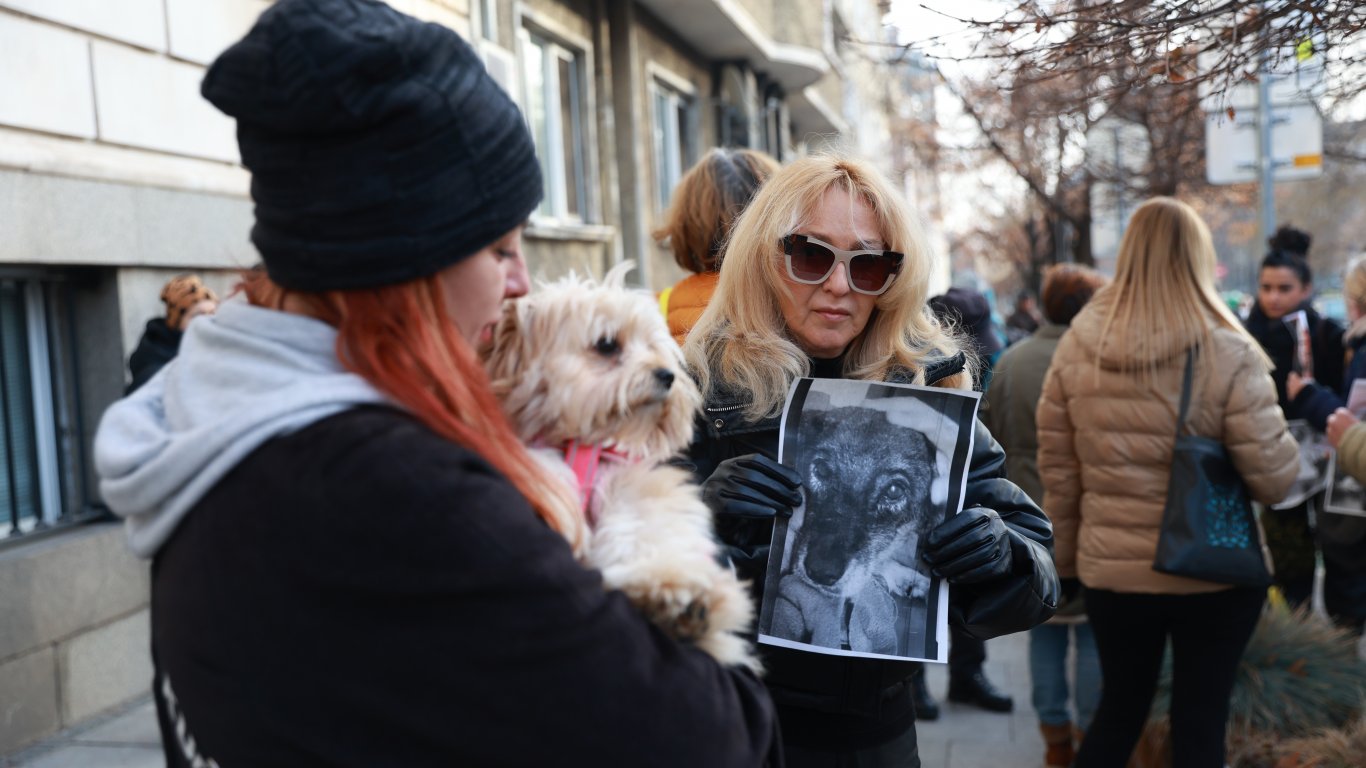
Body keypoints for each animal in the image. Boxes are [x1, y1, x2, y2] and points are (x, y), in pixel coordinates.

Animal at [486, 262, 759, 669]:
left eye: (652, 346)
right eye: (606, 345)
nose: (668, 376)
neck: (580, 445)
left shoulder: (632, 491)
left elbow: (643, 531)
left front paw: (673, 589)